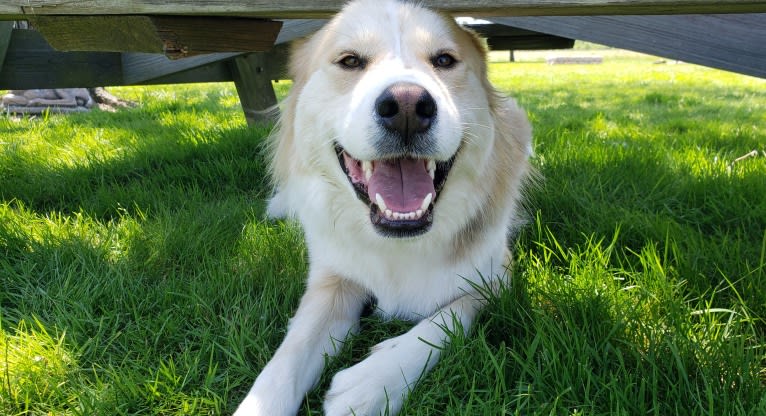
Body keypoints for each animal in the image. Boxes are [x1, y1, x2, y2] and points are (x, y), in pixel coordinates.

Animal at [234, 1, 536, 414]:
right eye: (350, 61)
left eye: (444, 60)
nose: (407, 106)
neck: (398, 241)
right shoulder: (331, 282)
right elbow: (286, 358)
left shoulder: (495, 277)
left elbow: (449, 316)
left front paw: (372, 381)